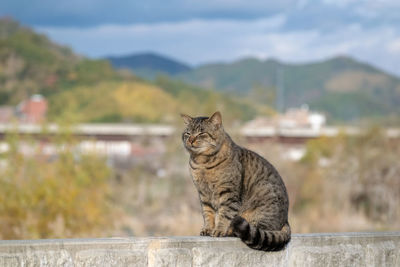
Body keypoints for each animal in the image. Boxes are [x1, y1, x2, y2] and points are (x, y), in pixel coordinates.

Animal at [181, 111, 290, 251]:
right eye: (188, 133)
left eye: (201, 133)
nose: (190, 140)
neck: (202, 162)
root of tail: (286, 220)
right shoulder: (203, 194)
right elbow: (207, 213)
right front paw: (208, 229)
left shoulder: (228, 193)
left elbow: (225, 214)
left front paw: (219, 230)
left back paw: (230, 231)